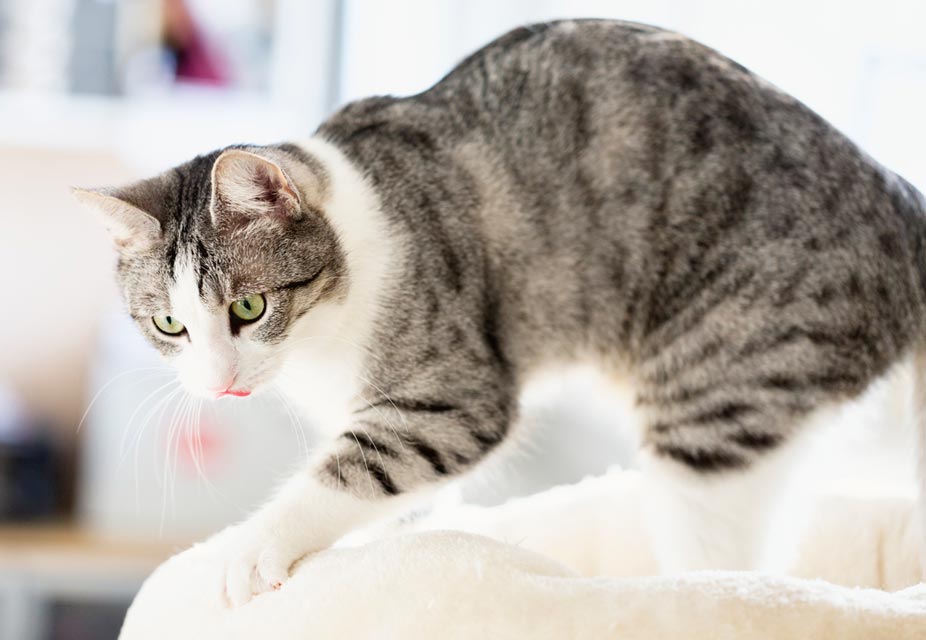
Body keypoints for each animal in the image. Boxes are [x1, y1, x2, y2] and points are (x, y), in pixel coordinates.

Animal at [74, 18, 926, 604]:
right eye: (170, 325)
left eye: (249, 307)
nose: (220, 382)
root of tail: (901, 199)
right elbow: (398, 502)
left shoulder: (449, 398)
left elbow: (352, 470)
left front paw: (253, 550)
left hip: (717, 400)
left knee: (730, 566)